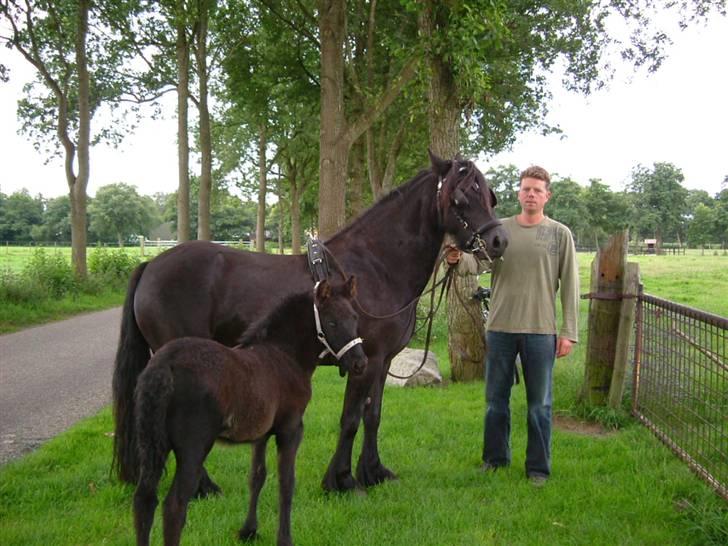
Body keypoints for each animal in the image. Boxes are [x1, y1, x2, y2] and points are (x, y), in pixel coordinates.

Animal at [113, 151, 508, 495]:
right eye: (460, 197)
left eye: (489, 194)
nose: (498, 241)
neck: (376, 266)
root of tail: (151, 265)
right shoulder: (365, 361)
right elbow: (350, 419)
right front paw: (342, 480)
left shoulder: (382, 362)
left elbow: (373, 416)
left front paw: (374, 472)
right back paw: (203, 488)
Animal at [132, 277, 366, 546]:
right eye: (331, 322)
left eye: (355, 318)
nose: (360, 363)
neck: (283, 354)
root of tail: (164, 364)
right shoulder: (291, 429)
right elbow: (286, 482)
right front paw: (284, 539)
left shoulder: (261, 434)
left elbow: (257, 476)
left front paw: (248, 531)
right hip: (193, 448)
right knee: (174, 505)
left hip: (152, 443)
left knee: (144, 500)